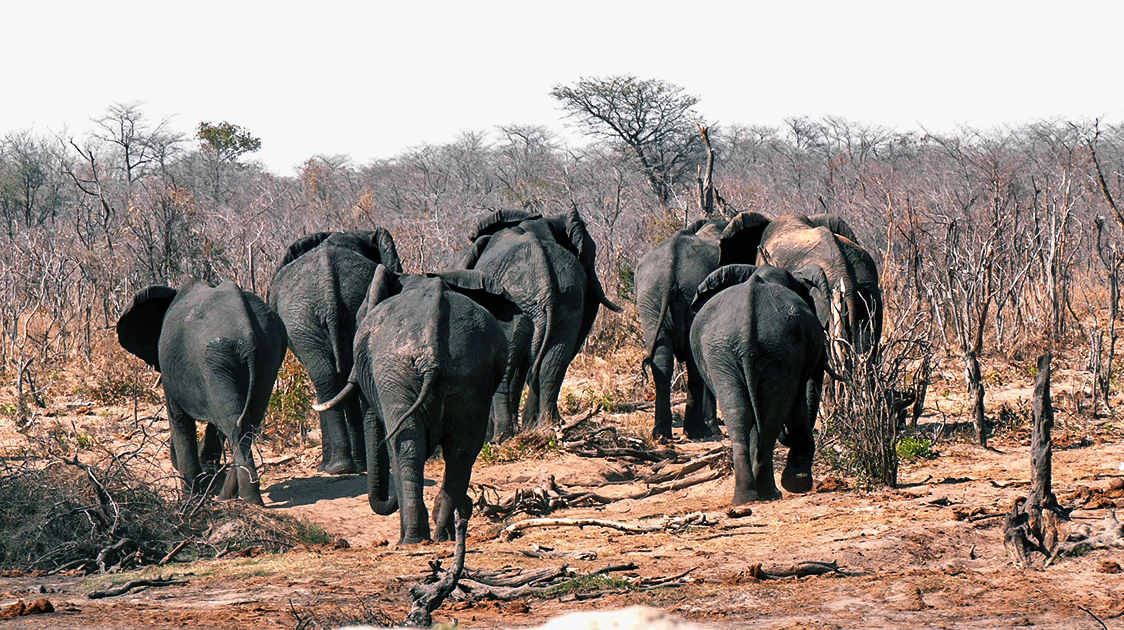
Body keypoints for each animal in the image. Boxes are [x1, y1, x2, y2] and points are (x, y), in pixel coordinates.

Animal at [116, 280, 287, 506]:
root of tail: (248, 331)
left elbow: (179, 420)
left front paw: (188, 499)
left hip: (216, 359)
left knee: (234, 424)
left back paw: (241, 500)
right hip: (267, 357)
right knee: (247, 422)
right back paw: (232, 498)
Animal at [268, 229, 403, 475]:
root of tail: (329, 292)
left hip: (303, 322)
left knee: (325, 380)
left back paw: (337, 467)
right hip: (315, 319)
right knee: (342, 379)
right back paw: (353, 465)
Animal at [313, 266, 520, 544]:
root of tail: (432, 353)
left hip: (396, 374)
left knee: (406, 447)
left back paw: (411, 539)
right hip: (469, 373)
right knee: (461, 450)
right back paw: (442, 535)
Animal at [635, 218, 727, 440]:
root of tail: (672, 265)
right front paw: (714, 428)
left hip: (650, 296)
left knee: (662, 359)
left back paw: (661, 434)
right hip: (694, 292)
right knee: (694, 362)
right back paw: (696, 432)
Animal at [690, 264, 826, 504]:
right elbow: (796, 408)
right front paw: (798, 482)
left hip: (727, 354)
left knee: (740, 413)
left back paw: (747, 497)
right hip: (767, 351)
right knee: (770, 417)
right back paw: (768, 493)